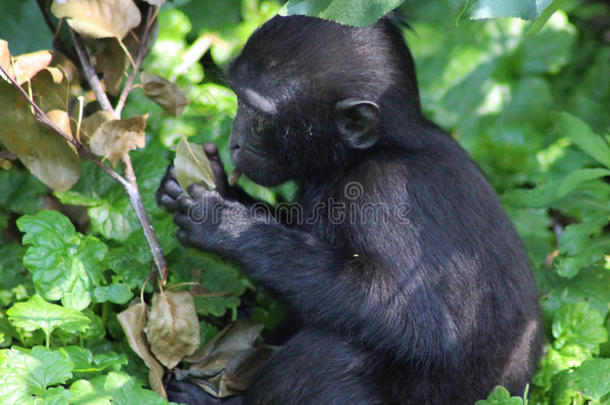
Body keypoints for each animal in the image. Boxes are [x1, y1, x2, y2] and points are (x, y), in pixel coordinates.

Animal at [158, 14, 540, 404]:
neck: (371, 152)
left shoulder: (381, 193)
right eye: (236, 101)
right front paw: (214, 186)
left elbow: (425, 327)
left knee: (329, 354)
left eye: (260, 121)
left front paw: (223, 225)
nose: (234, 142)